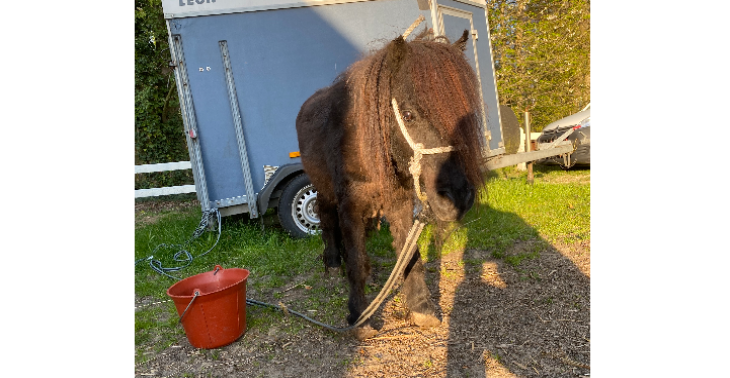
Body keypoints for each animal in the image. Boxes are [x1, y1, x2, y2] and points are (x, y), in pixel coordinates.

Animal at [292, 30, 486, 340]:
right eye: (408, 115)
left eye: (463, 114)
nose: (458, 197)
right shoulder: (349, 206)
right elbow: (357, 260)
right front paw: (360, 316)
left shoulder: (400, 203)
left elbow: (410, 256)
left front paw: (422, 307)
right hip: (323, 189)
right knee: (326, 219)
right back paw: (333, 263)